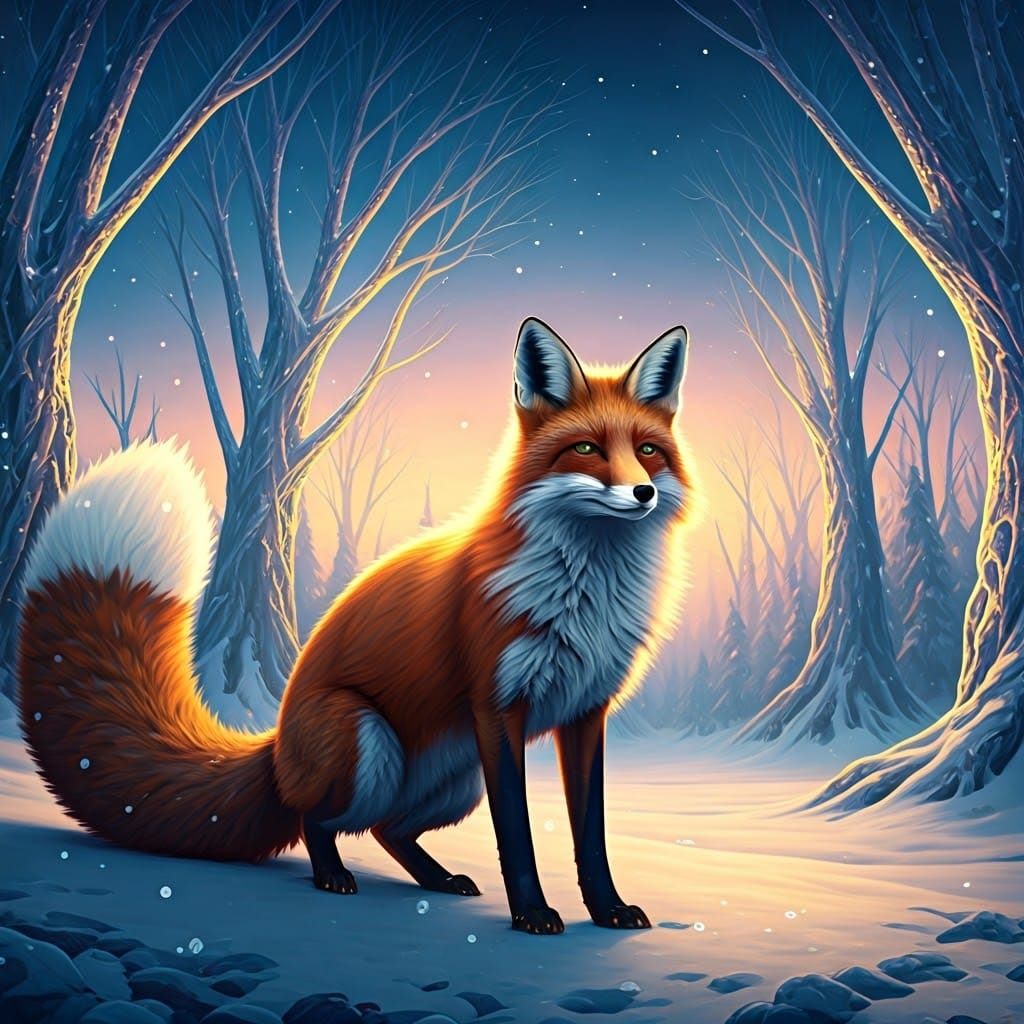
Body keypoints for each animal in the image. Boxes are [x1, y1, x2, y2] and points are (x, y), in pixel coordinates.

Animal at [18, 317, 693, 935]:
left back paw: (438, 879)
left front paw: (607, 910)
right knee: (315, 819)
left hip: (456, 778)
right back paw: (332, 876)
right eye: (587, 449)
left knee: (389, 829)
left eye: (648, 451)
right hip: (367, 737)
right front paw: (531, 914)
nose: (642, 493)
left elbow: (592, 835)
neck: (586, 597)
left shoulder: (585, 712)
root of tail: (275, 746)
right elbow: (518, 838)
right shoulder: (498, 708)